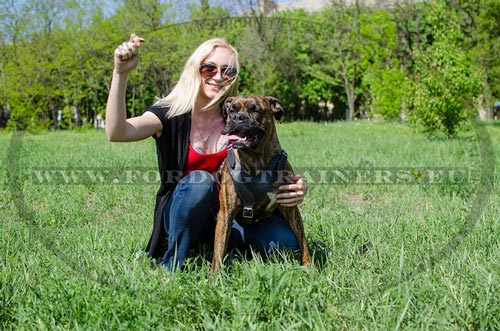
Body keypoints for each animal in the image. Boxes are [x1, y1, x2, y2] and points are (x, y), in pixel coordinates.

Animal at [209, 95, 310, 272]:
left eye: (255, 110)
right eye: (232, 110)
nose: (237, 117)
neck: (256, 159)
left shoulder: (290, 207)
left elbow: (302, 239)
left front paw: (309, 267)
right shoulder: (226, 213)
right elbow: (219, 248)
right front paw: (216, 275)